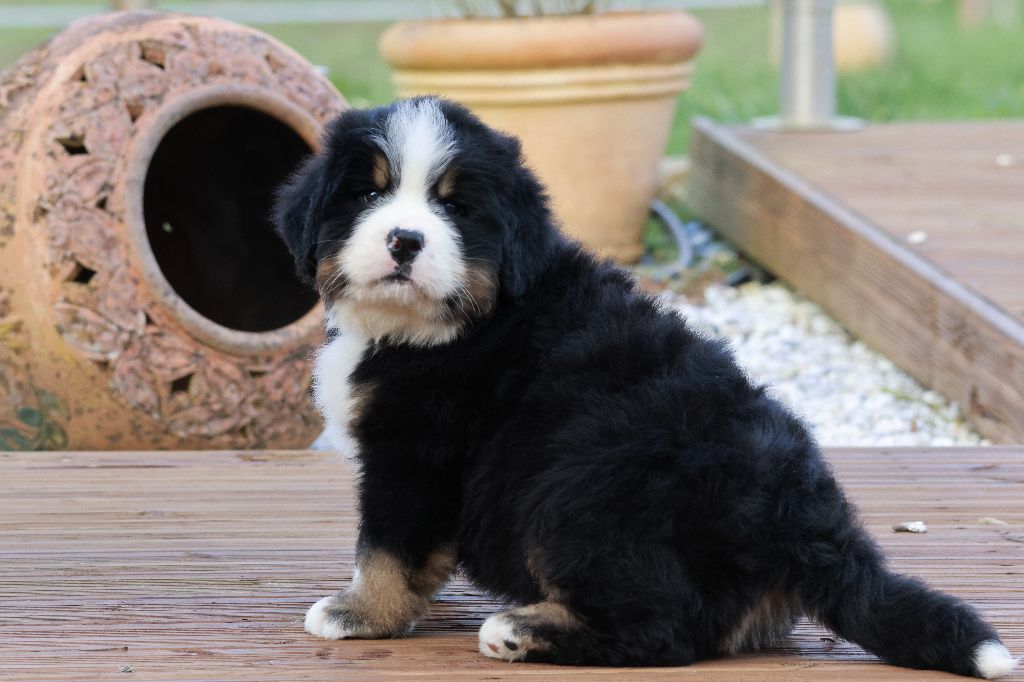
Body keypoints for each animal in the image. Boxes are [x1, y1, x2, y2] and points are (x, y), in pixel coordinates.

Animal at [273, 97, 1018, 678]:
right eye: (369, 193)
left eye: (453, 206)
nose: (404, 240)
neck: (443, 326)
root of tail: (808, 522)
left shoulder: (415, 451)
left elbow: (387, 548)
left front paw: (358, 612)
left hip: (577, 491)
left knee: (666, 629)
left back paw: (524, 630)